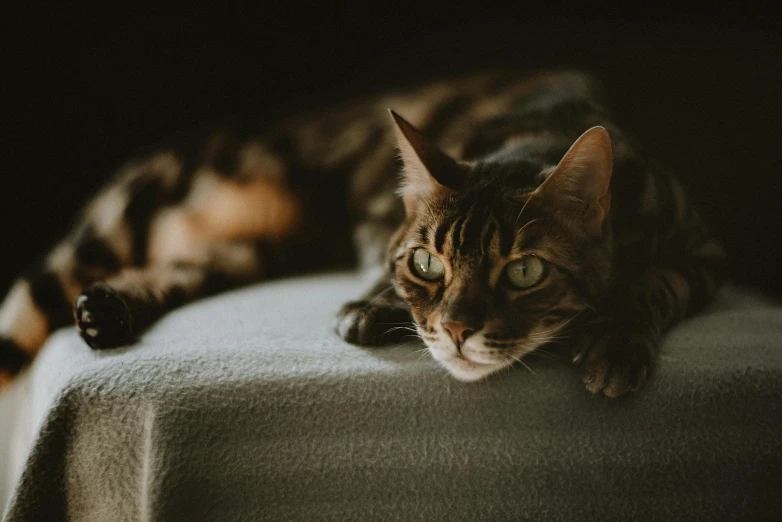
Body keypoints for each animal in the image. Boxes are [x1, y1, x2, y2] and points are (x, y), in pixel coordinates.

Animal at [0, 68, 728, 394]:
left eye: (524, 272)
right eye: (427, 264)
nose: (457, 331)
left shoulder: (702, 252)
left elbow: (654, 285)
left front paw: (617, 342)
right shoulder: (380, 223)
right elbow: (381, 268)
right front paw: (370, 307)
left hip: (249, 251)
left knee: (179, 270)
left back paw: (109, 310)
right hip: (119, 220)